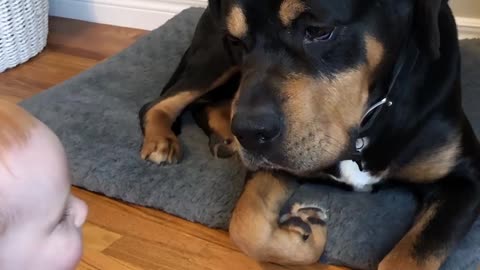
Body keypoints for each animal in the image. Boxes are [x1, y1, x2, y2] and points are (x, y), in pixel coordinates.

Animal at [139, 1, 480, 268]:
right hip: (214, 59)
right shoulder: (273, 162)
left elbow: (410, 257)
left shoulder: (465, 180)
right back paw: (163, 140)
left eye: (317, 31)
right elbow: (246, 225)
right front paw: (307, 231)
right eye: (237, 41)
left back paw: (224, 137)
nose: (249, 134)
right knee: (159, 103)